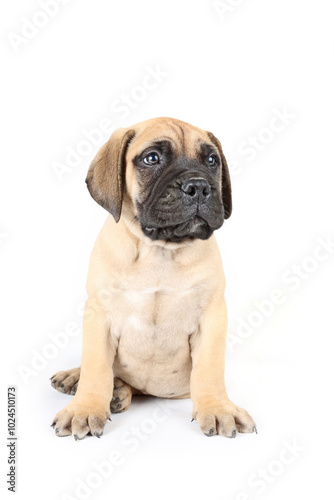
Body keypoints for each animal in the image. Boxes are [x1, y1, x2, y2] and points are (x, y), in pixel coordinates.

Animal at [51, 116, 258, 438]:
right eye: (152, 158)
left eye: (212, 160)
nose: (199, 186)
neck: (160, 250)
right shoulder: (98, 315)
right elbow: (96, 367)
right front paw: (85, 408)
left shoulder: (211, 317)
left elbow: (209, 369)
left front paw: (217, 408)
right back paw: (80, 379)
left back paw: (118, 392)